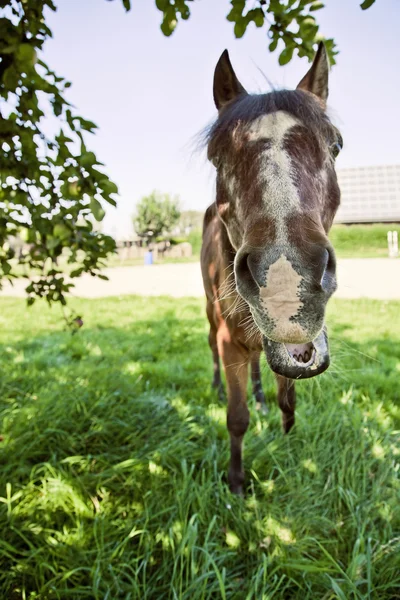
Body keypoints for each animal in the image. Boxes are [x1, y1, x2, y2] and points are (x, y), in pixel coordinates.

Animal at [202, 43, 342, 496]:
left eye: (336, 145)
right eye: (216, 157)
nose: (285, 282)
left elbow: (286, 394)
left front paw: (287, 433)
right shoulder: (229, 341)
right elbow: (236, 417)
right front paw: (235, 482)